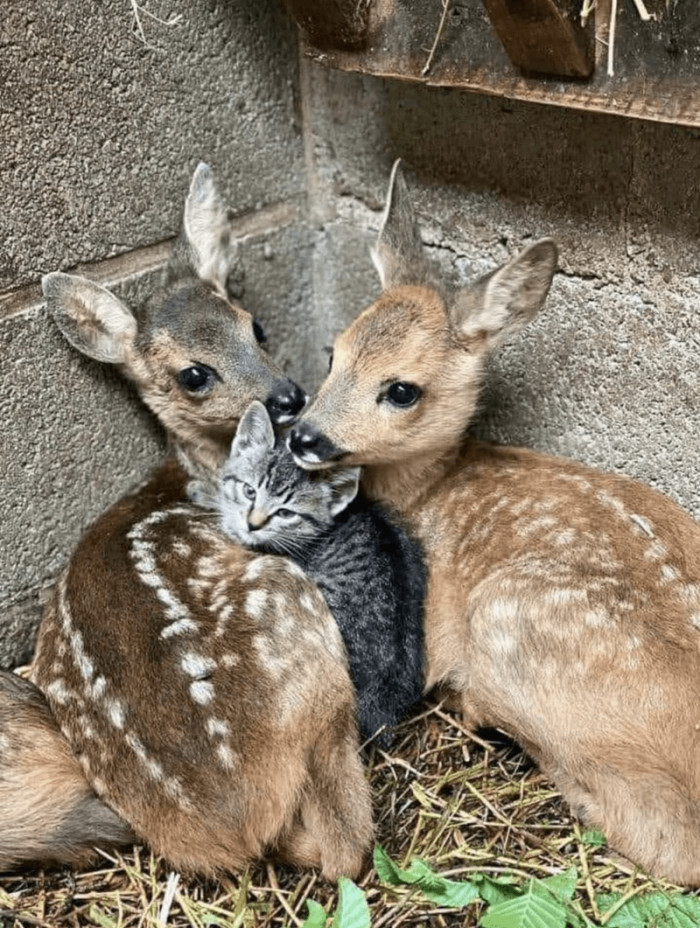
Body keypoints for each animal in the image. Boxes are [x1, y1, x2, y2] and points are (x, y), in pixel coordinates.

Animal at [2, 163, 373, 879]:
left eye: (256, 327)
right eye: (194, 375)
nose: (287, 396)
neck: (194, 476)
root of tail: (231, 819)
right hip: (293, 610)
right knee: (344, 844)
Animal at [288, 161, 700, 886]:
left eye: (402, 390)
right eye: (334, 353)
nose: (305, 437)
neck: (430, 491)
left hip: (510, 619)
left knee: (668, 841)